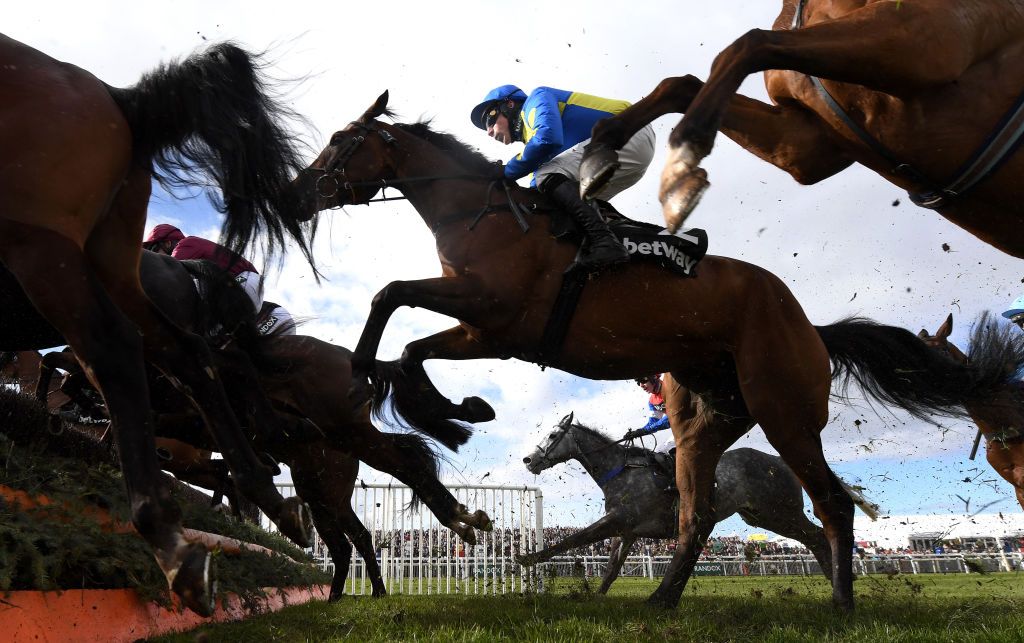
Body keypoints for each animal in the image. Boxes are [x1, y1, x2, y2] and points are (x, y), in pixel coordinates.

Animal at [0, 33, 319, 614]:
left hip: (39, 243)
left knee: (119, 351)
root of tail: (118, 97)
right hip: (108, 267)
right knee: (194, 360)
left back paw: (174, 542)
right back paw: (270, 494)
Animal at [577, 0, 1024, 255]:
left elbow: (749, 43)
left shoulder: (922, 41)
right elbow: (684, 83)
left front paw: (678, 173)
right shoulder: (808, 143)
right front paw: (599, 151)